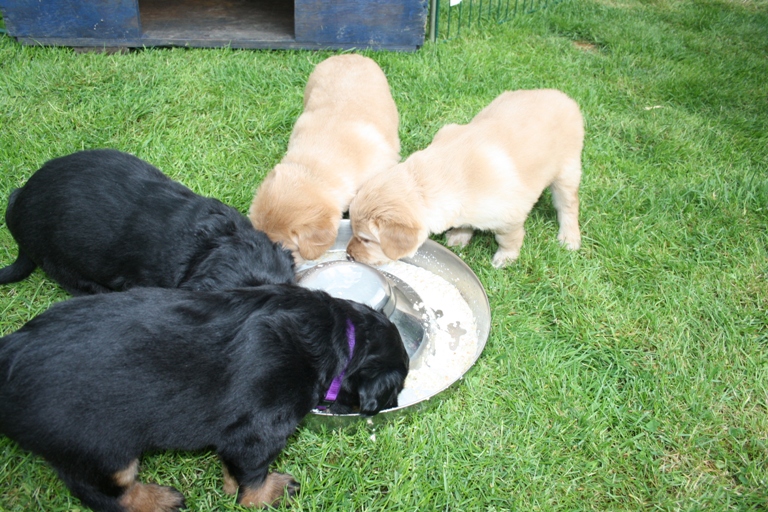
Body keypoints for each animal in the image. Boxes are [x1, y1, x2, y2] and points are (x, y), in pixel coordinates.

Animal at [0, 284, 409, 511]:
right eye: (397, 387)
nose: (391, 407)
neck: (342, 338)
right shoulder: (257, 431)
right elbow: (250, 481)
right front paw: (271, 493)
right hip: (101, 450)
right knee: (103, 494)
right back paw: (158, 501)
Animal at [347, 89, 584, 268]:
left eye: (366, 239)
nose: (349, 255)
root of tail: (565, 97)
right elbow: (465, 222)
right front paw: (459, 236)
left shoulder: (510, 217)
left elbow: (508, 239)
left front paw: (505, 258)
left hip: (567, 171)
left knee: (569, 206)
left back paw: (569, 238)